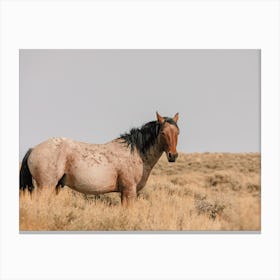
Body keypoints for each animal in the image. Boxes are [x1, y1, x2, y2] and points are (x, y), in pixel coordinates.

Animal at [20, 111, 180, 206]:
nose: (173, 156)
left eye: (177, 132)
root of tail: (33, 149)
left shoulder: (124, 193)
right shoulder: (129, 191)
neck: (136, 153)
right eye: (163, 133)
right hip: (46, 187)